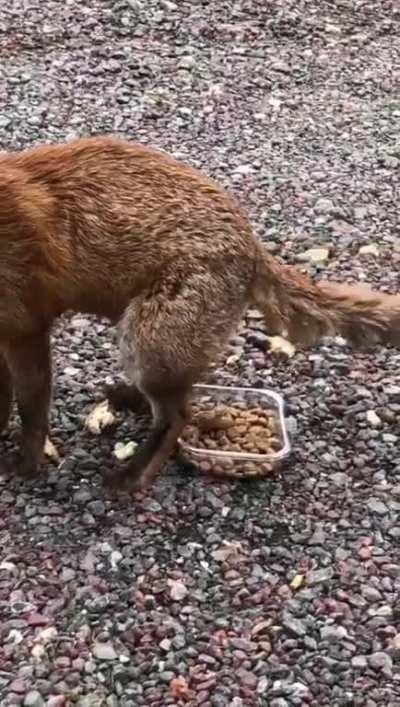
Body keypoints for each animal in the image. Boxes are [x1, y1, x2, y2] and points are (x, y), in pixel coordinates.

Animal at [0, 135, 398, 491]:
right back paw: (130, 400)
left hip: (148, 340)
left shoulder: (26, 328)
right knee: (178, 395)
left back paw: (133, 475)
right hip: (145, 338)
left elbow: (31, 409)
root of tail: (253, 244)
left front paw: (26, 463)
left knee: (177, 417)